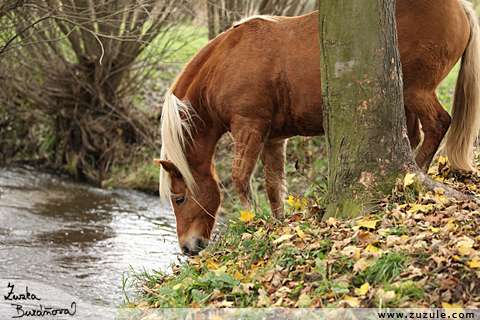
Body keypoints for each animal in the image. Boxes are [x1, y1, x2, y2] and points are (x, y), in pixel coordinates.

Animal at [156, 0, 480, 255]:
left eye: (179, 198)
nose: (187, 248)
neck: (226, 62)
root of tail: (459, 8)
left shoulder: (248, 126)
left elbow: (240, 179)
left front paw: (252, 223)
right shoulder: (273, 139)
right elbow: (274, 187)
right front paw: (277, 224)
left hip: (416, 92)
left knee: (438, 124)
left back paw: (418, 173)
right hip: (405, 101)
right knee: (413, 136)